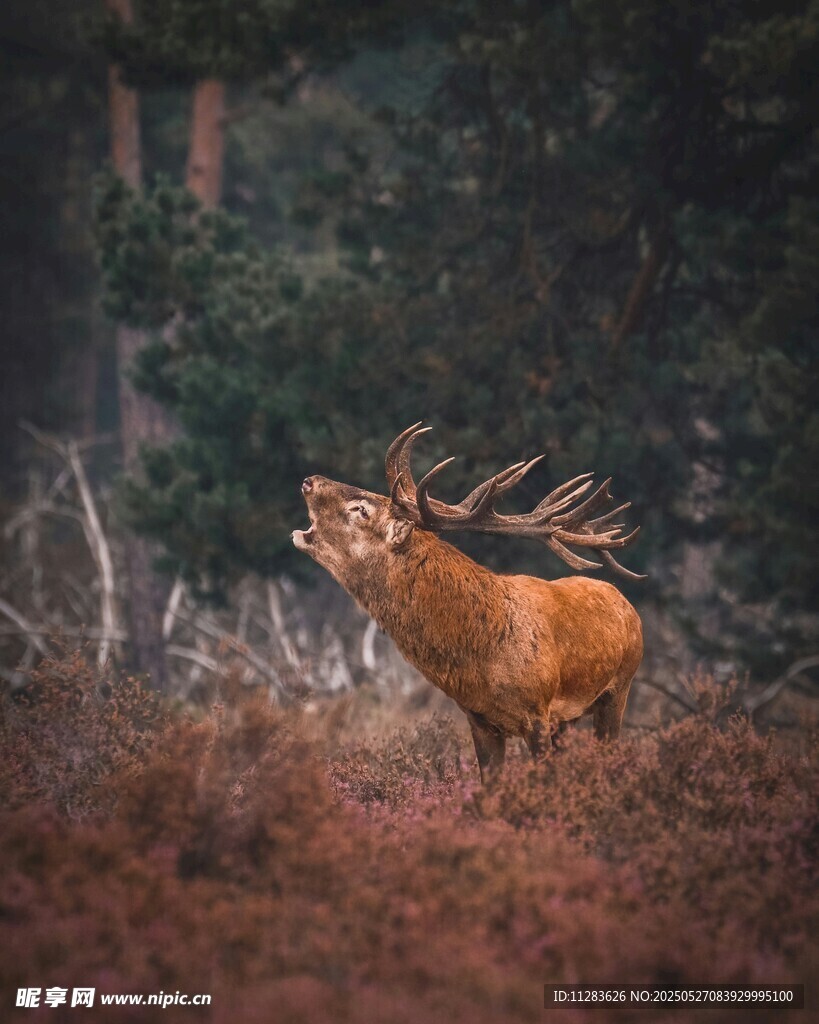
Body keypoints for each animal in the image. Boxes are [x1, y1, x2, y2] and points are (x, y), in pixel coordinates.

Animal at [292, 424, 644, 782]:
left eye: (361, 509)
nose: (309, 480)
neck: (483, 658)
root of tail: (623, 600)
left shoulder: (538, 713)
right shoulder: (480, 720)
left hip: (619, 688)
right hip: (569, 719)